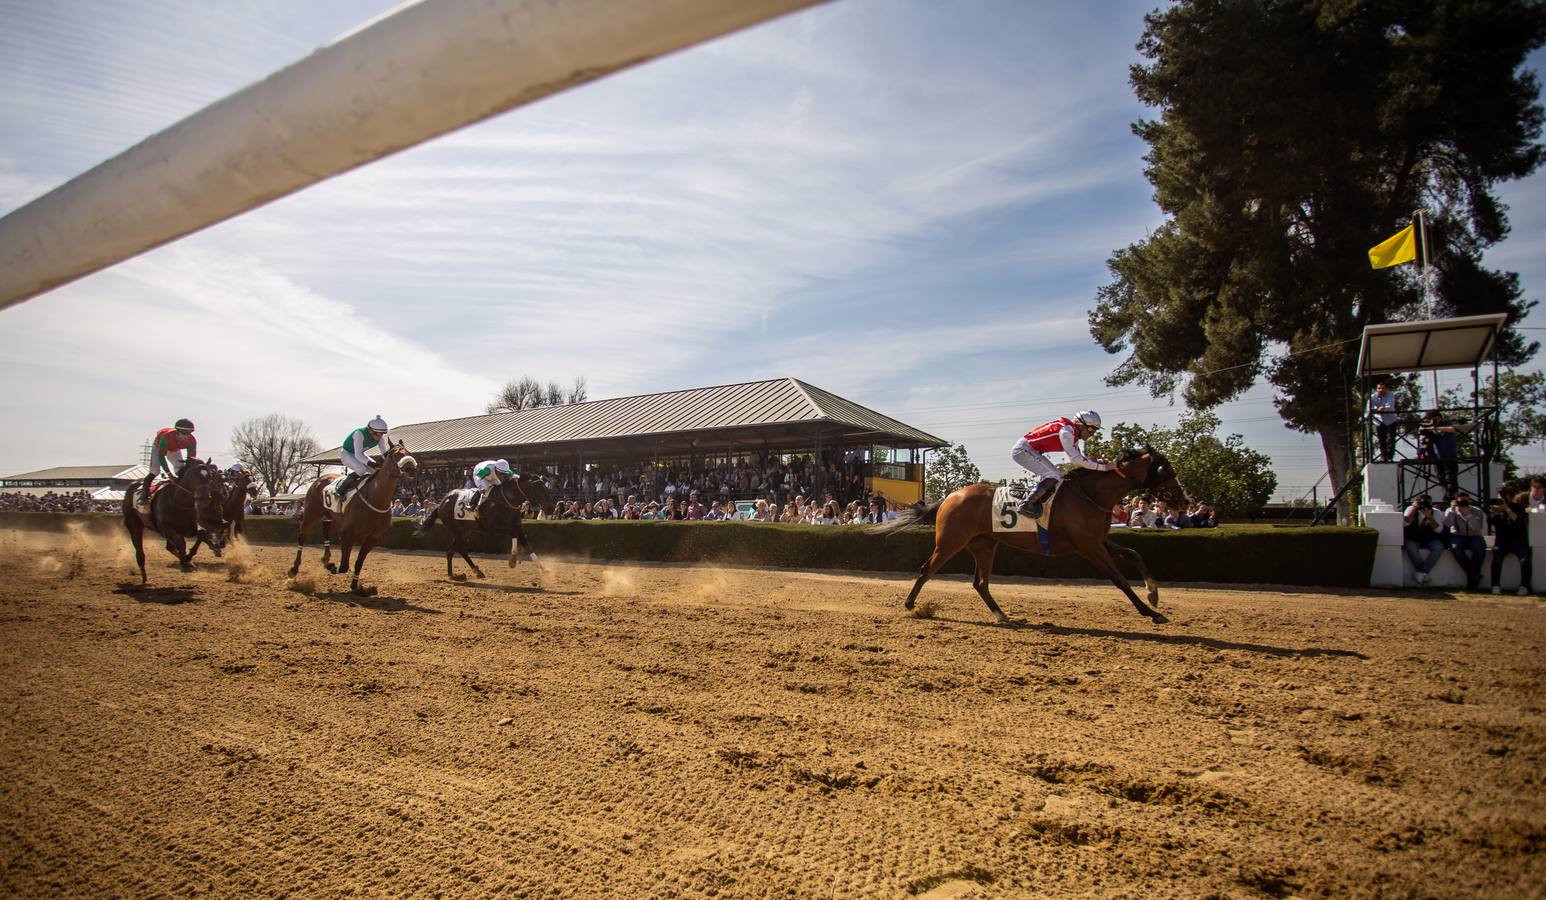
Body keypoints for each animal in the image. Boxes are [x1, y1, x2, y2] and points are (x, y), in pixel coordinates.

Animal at [289, 445, 417, 600]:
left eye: (409, 453)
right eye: (396, 455)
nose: (411, 468)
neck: (375, 498)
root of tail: (321, 478)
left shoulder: (373, 538)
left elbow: (359, 562)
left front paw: (356, 587)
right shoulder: (348, 533)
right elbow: (344, 566)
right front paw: (332, 567)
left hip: (333, 517)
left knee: (326, 527)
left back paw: (326, 557)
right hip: (311, 514)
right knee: (302, 535)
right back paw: (294, 569)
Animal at [414, 473, 553, 578]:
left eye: (546, 488)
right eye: (539, 489)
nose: (550, 509)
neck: (506, 500)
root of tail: (441, 503)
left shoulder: (517, 525)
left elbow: (526, 544)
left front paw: (543, 568)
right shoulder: (493, 527)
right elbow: (514, 534)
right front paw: (513, 559)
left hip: (464, 530)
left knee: (451, 552)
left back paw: (454, 574)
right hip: (456, 530)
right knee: (460, 550)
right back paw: (474, 571)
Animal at [878, 448, 1187, 627]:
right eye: (1166, 469)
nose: (1182, 499)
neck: (1090, 495)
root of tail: (950, 497)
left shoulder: (1098, 541)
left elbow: (1135, 554)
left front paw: (1154, 594)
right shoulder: (1089, 547)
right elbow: (1119, 579)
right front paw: (1151, 611)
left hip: (985, 545)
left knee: (980, 583)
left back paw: (1002, 615)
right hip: (951, 541)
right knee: (926, 570)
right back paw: (910, 605)